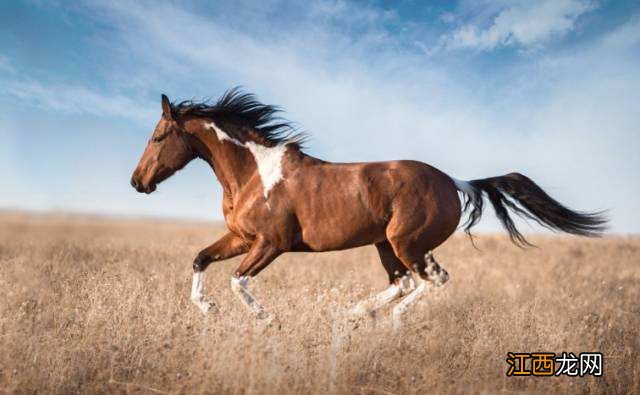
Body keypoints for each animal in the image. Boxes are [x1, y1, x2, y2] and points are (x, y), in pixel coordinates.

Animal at [130, 91, 604, 326]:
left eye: (158, 136)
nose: (138, 182)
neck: (253, 173)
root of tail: (455, 181)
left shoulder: (271, 243)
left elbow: (237, 281)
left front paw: (267, 320)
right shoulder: (241, 237)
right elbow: (200, 259)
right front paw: (206, 309)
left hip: (407, 242)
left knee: (431, 280)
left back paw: (388, 319)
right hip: (385, 245)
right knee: (403, 282)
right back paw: (354, 313)